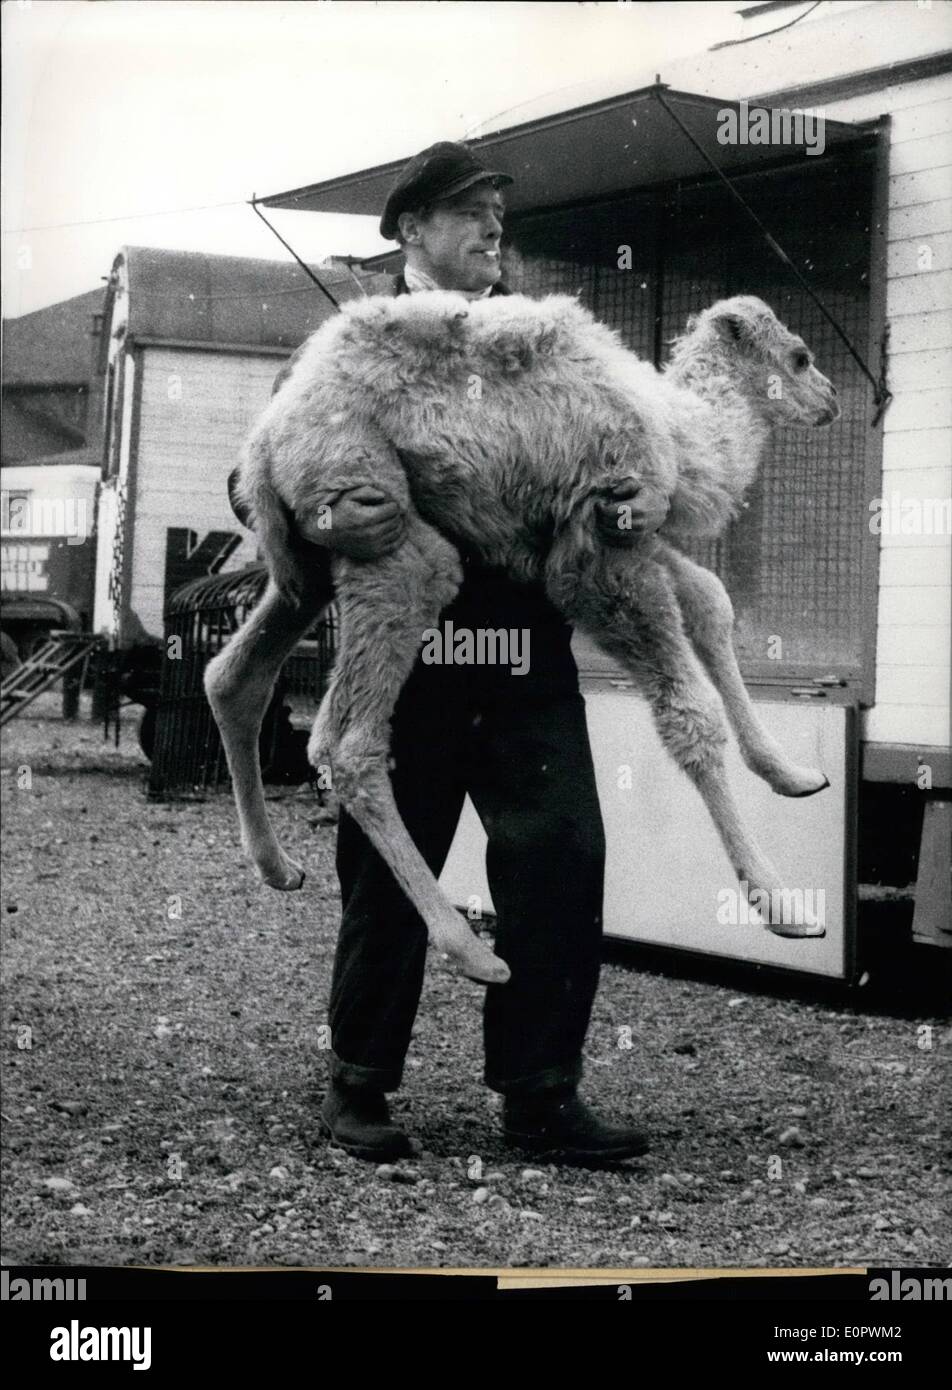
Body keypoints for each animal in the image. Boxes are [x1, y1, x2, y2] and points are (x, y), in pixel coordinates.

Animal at [205, 291, 840, 987]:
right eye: (799, 356)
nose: (832, 400)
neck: (682, 435)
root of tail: (263, 444)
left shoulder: (623, 535)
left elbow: (708, 598)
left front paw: (793, 773)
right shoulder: (600, 549)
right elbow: (689, 714)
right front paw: (781, 904)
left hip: (306, 566)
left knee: (235, 676)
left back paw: (278, 867)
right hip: (381, 527)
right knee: (345, 741)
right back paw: (470, 950)